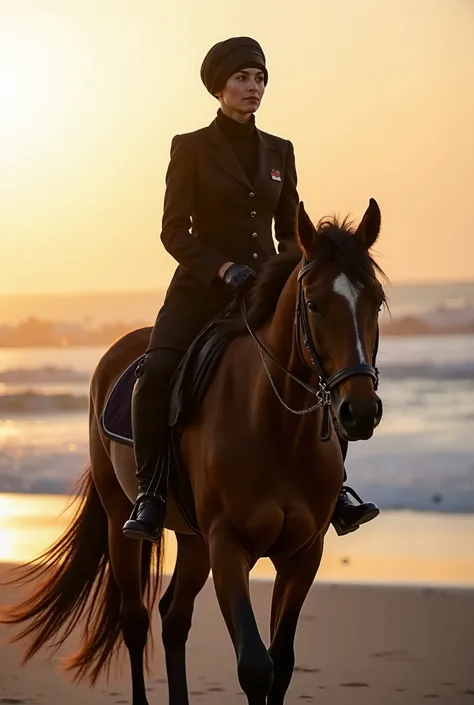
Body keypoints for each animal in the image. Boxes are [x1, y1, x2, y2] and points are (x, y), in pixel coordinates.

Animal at [1, 198, 386, 704]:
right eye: (314, 304)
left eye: (376, 301)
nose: (359, 412)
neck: (277, 429)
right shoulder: (228, 544)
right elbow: (255, 666)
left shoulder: (303, 552)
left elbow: (281, 663)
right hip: (121, 516)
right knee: (135, 620)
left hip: (192, 538)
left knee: (173, 617)